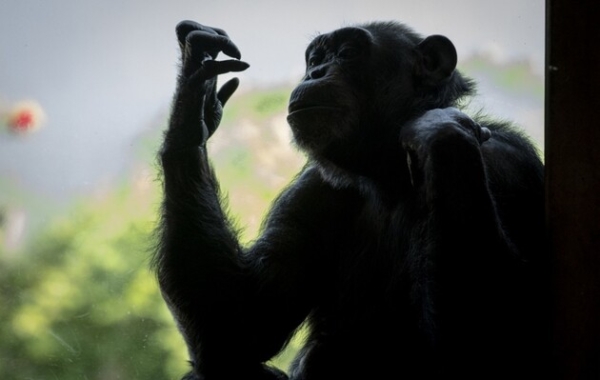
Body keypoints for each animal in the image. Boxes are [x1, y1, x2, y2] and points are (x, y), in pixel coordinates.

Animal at [154, 20, 548, 380]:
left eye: (347, 53)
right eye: (316, 58)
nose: (316, 72)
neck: (388, 175)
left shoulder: (507, 165)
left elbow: (493, 335)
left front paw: (439, 132)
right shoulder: (314, 188)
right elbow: (240, 323)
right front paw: (196, 90)